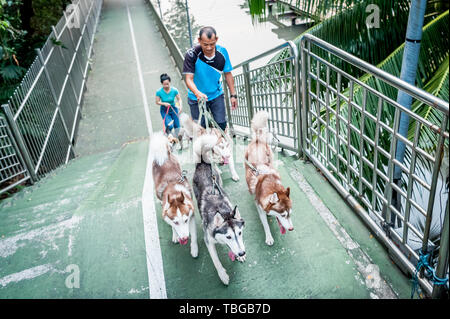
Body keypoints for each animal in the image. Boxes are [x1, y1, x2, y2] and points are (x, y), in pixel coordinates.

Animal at [191, 134, 244, 286]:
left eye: (239, 233)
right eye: (228, 237)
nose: (242, 253)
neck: (222, 210)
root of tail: (203, 163)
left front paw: (238, 256)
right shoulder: (208, 240)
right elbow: (216, 261)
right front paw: (223, 275)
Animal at [244, 111, 294, 246]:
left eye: (290, 214)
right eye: (283, 215)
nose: (292, 229)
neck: (271, 184)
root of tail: (257, 139)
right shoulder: (259, 207)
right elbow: (265, 224)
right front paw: (269, 237)